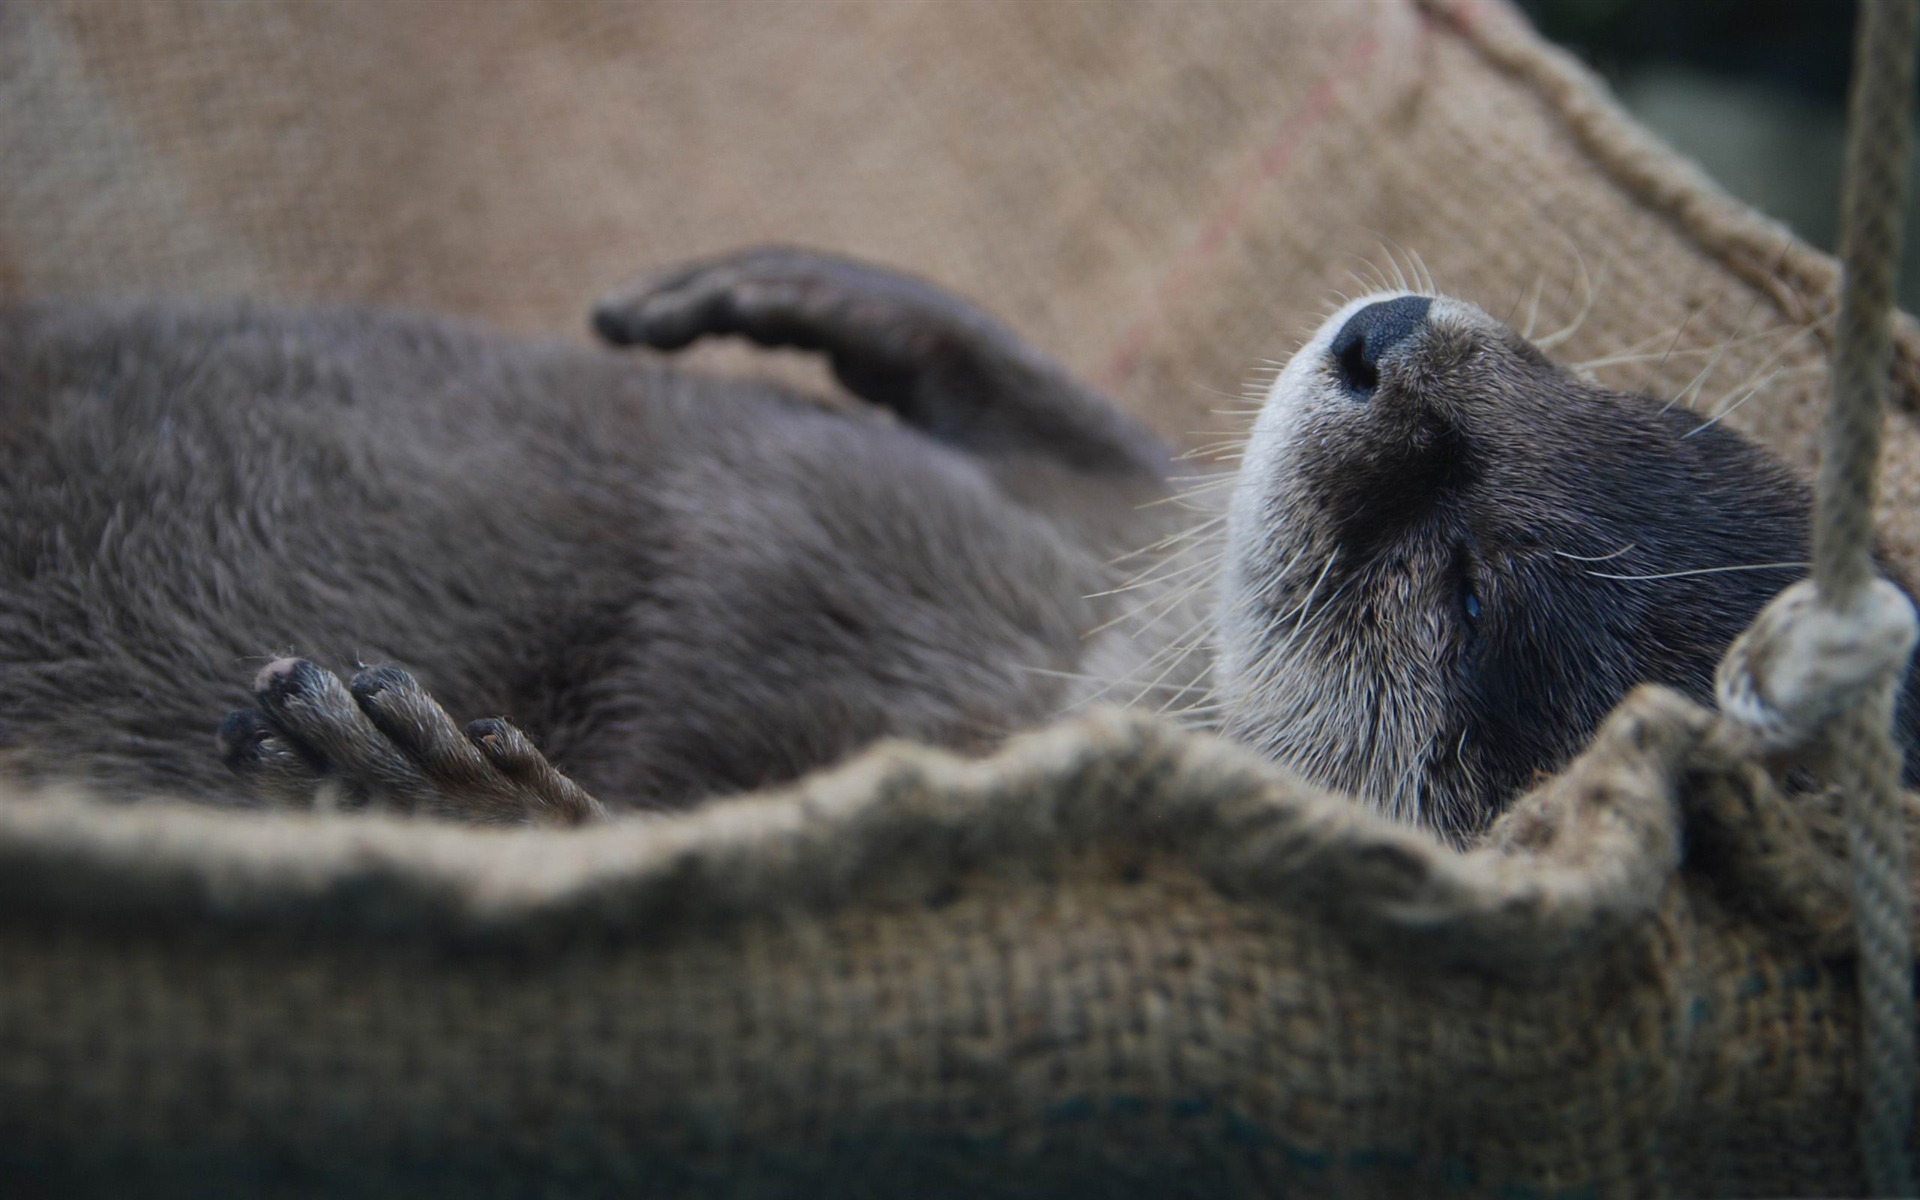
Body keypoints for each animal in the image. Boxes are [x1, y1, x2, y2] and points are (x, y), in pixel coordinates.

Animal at [0, 247, 1912, 837]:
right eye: (1582, 382)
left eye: (1465, 587)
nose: (1387, 342)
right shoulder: (1073, 558)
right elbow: (1093, 456)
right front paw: (834, 301)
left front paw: (442, 793)